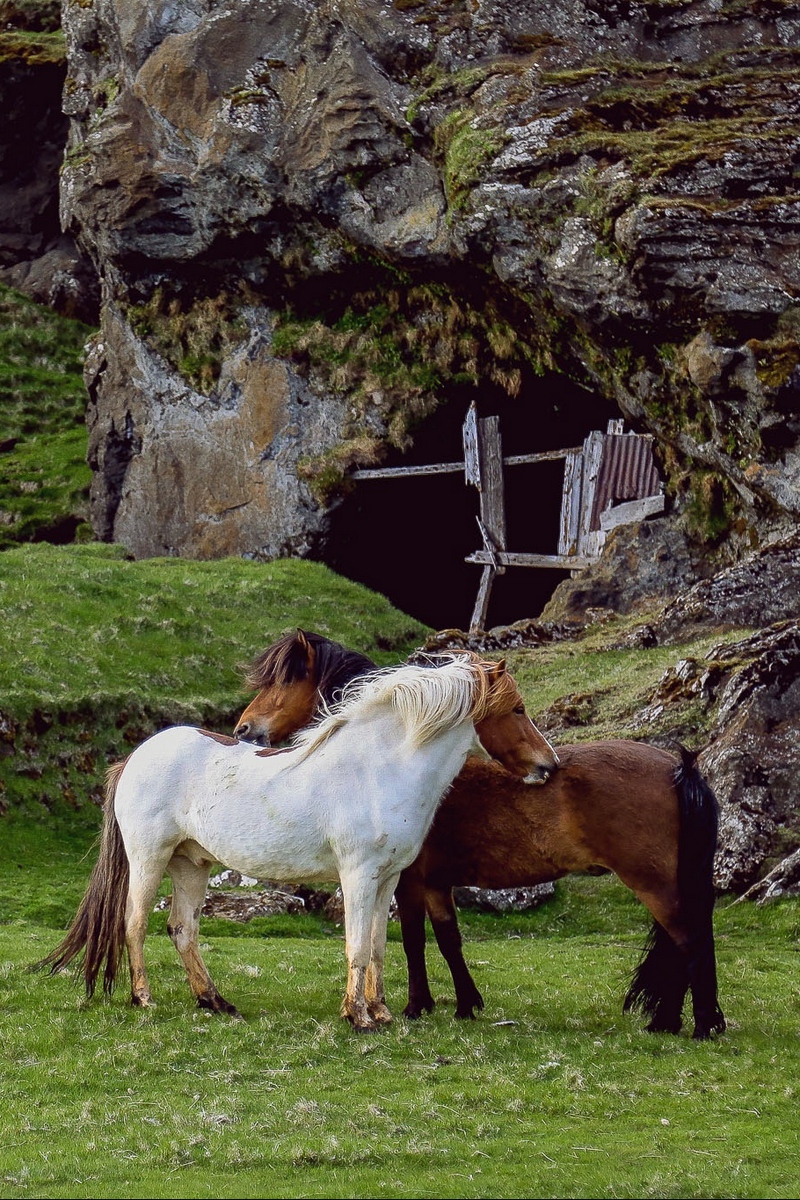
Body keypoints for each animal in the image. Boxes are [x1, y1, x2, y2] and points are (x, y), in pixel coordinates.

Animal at [38, 652, 558, 1033]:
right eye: (516, 709)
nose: (549, 766)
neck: (379, 769)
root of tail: (135, 757)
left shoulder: (388, 879)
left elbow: (377, 946)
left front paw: (382, 1012)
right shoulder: (358, 876)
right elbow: (356, 946)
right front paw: (359, 1017)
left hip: (192, 864)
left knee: (183, 929)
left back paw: (215, 1001)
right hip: (150, 858)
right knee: (135, 923)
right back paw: (143, 998)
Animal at [235, 629, 726, 1040]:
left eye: (281, 684)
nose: (243, 729)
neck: (398, 761)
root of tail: (679, 766)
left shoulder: (409, 880)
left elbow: (413, 939)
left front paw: (417, 1006)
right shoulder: (434, 883)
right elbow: (448, 939)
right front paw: (465, 1004)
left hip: (654, 883)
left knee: (689, 941)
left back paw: (700, 1025)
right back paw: (670, 1022)